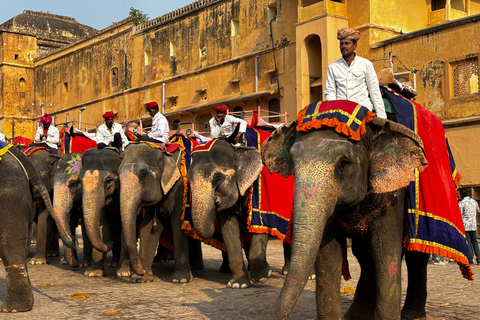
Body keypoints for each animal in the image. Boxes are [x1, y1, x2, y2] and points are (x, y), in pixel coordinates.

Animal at [77, 148, 126, 276]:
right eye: (80, 181)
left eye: (108, 181)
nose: (109, 244)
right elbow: (102, 225)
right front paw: (93, 273)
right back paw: (113, 263)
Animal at [120, 142, 204, 282]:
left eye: (143, 173)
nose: (141, 270)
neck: (165, 153)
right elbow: (148, 228)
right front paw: (140, 278)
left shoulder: (181, 189)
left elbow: (178, 225)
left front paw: (181, 280)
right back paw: (195, 266)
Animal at [187, 139, 270, 288]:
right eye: (189, 180)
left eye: (217, 178)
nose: (216, 202)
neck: (238, 150)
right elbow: (229, 230)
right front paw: (238, 284)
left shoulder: (260, 192)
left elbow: (260, 226)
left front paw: (262, 277)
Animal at [262, 112, 432, 318]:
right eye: (293, 164)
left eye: (343, 164)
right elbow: (329, 256)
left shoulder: (393, 194)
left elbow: (386, 252)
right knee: (364, 255)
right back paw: (355, 315)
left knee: (415, 255)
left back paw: (412, 315)